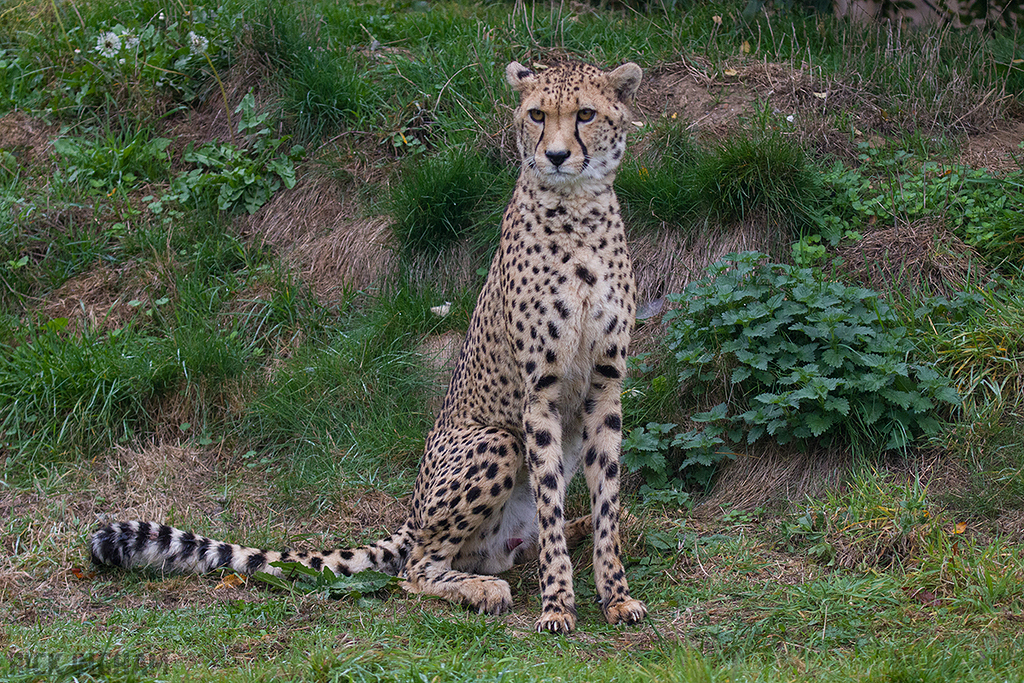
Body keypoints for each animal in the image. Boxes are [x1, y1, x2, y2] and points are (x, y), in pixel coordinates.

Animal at [90, 59, 647, 634]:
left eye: (585, 114)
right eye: (537, 114)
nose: (555, 155)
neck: (578, 211)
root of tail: (412, 512)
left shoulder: (604, 388)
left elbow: (606, 498)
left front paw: (616, 592)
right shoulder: (540, 394)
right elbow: (549, 506)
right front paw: (558, 603)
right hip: (494, 439)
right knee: (418, 569)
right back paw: (483, 588)